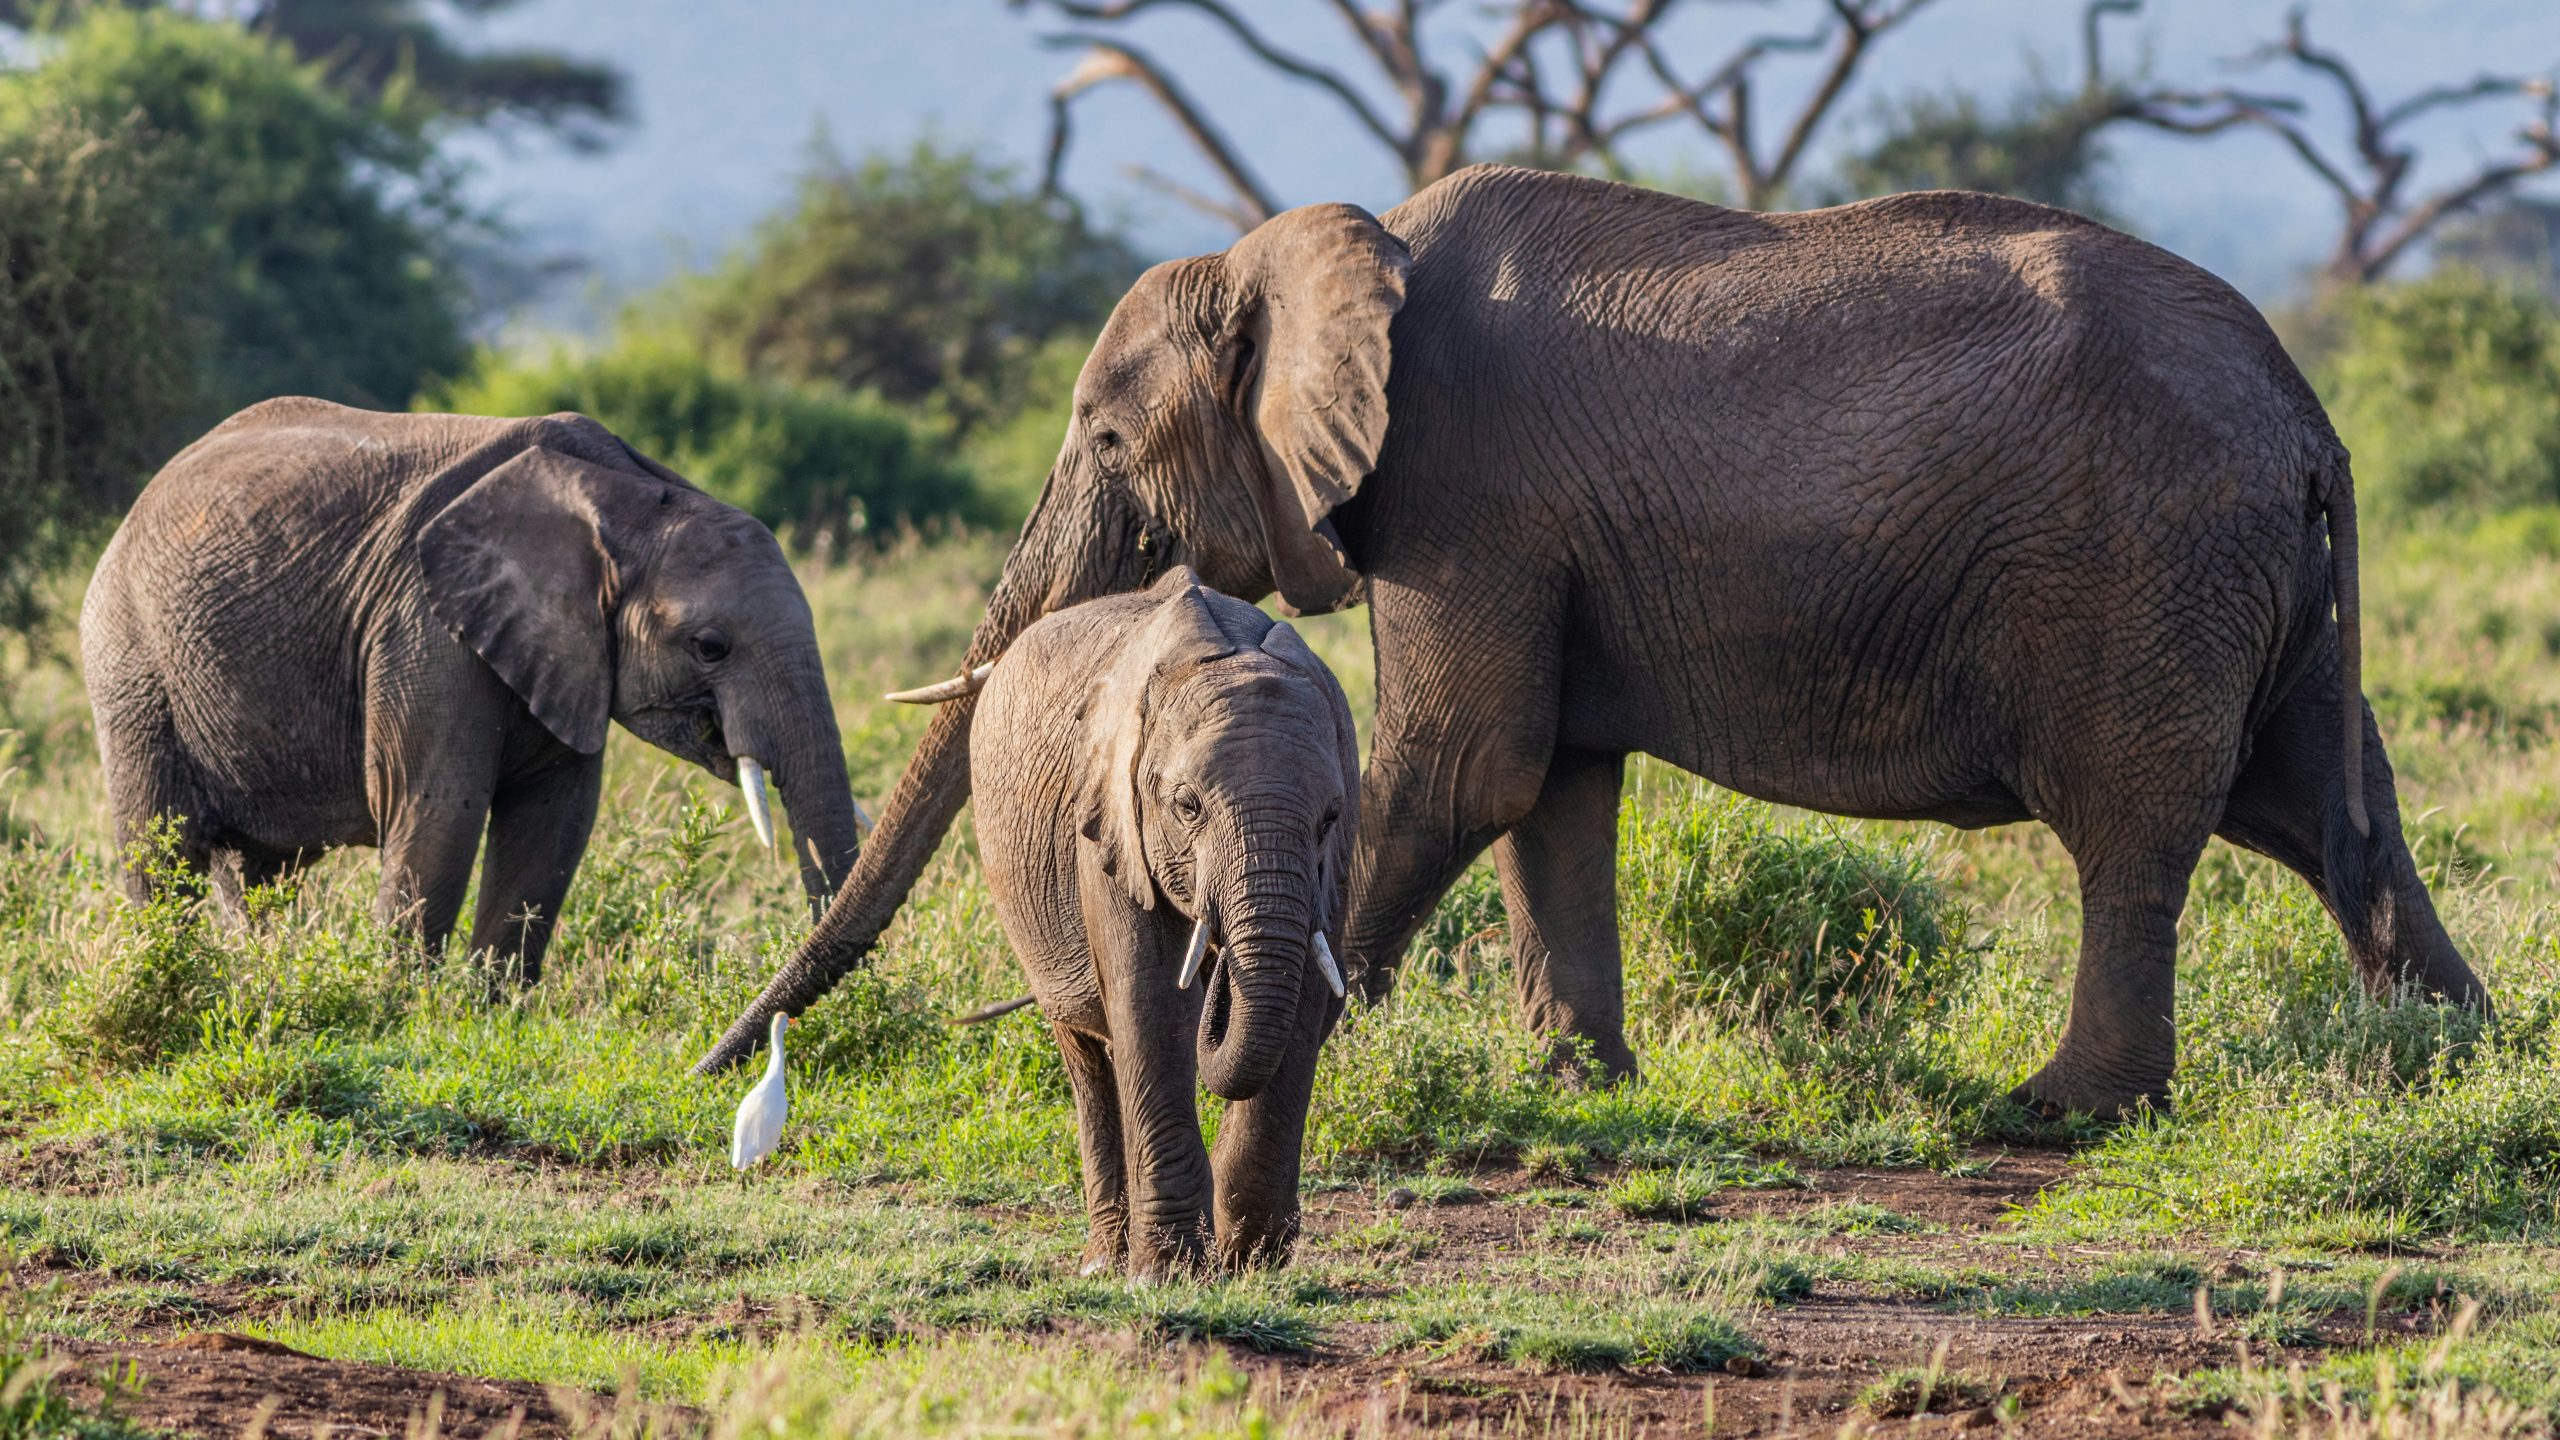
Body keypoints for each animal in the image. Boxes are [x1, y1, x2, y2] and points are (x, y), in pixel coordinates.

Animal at [85, 394, 865, 973]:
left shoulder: (565, 654)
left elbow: (554, 823)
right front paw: (401, 1014)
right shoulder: (423, 624)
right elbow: (439, 811)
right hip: (130, 664)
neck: (627, 496)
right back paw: (168, 975)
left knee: (255, 873)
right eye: (710, 647)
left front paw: (492, 1014)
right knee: (161, 853)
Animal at [696, 162, 2478, 1117]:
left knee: (2135, 828)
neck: (1318, 244)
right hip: (2251, 588)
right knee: (2325, 813)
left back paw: (2056, 1114)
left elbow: (1456, 768)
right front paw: (1576, 1086)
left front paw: (1303, 1048)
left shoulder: (1467, 490)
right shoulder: (1539, 536)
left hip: (2146, 572)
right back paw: (2449, 1055)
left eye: (1110, 444)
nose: (726, 1062)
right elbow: (1548, 785)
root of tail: (2311, 420)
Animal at [962, 566, 1361, 1270]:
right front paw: (1168, 1272)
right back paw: (1105, 1259)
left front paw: (1251, 1260)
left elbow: (1308, 996)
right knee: (1087, 1052)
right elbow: (1150, 1001)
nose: (1220, 969)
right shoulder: (1108, 821)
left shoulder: (1332, 866)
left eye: (1330, 817)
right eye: (1186, 806)